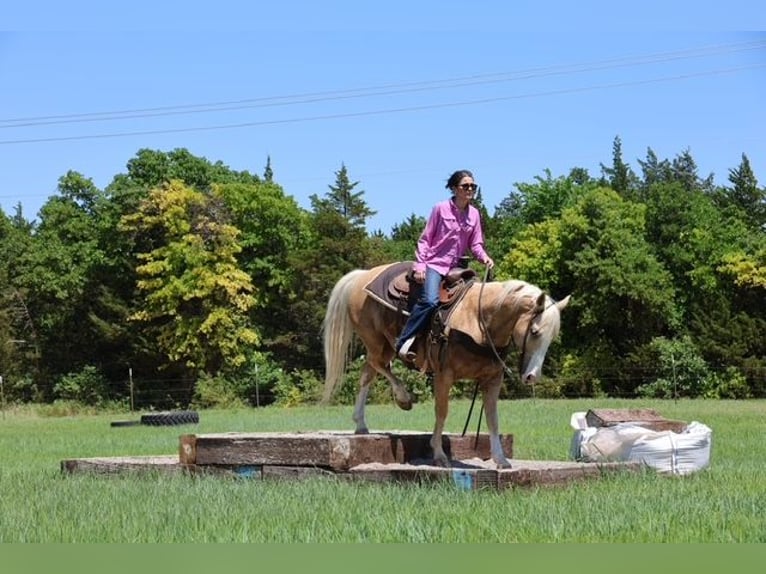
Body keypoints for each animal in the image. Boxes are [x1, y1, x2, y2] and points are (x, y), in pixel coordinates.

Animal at [321, 261, 570, 468]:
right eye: (535, 331)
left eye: (552, 337)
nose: (532, 376)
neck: (479, 319)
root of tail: (363, 275)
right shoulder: (444, 374)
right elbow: (442, 412)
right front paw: (439, 454)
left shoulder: (492, 379)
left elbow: (492, 418)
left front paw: (501, 460)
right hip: (375, 341)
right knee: (377, 364)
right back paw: (403, 398)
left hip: (383, 344)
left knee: (368, 373)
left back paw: (361, 424)